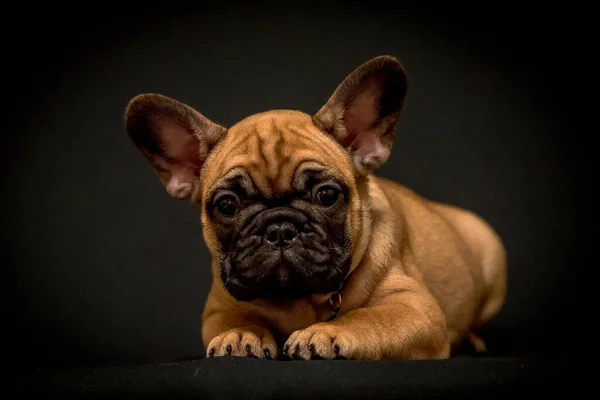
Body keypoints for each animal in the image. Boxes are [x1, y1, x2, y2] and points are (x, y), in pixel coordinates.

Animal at [125, 55, 506, 360]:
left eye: (326, 195)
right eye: (227, 205)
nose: (279, 227)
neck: (298, 298)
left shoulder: (415, 308)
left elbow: (369, 317)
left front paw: (325, 331)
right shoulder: (217, 310)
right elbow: (235, 318)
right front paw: (241, 334)